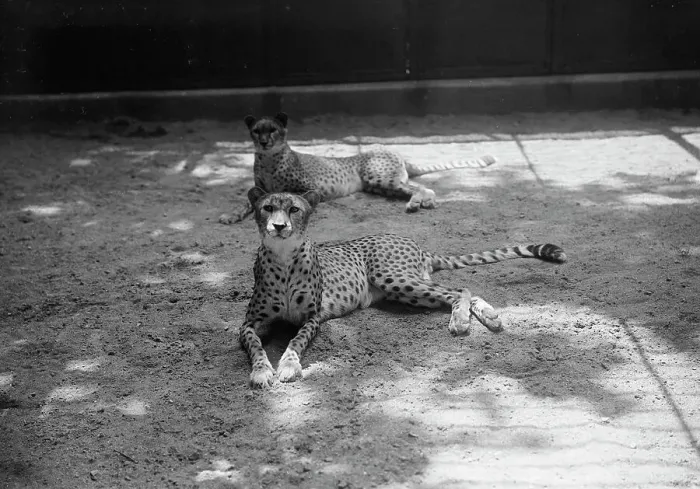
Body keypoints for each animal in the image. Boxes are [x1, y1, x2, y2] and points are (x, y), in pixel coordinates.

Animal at [218, 112, 497, 224]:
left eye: (273, 130)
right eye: (257, 131)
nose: (264, 141)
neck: (268, 159)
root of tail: (391, 149)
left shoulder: (310, 188)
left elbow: (292, 196)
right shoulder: (259, 188)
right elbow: (246, 202)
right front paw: (230, 215)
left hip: (379, 178)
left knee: (425, 188)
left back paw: (418, 203)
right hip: (378, 186)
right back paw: (417, 202)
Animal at [239, 188, 567, 388]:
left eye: (294, 209)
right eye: (268, 208)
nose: (279, 226)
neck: (284, 256)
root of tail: (412, 242)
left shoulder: (312, 318)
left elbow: (296, 341)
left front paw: (288, 366)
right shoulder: (249, 323)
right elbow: (255, 345)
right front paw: (261, 371)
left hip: (392, 277)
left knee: (459, 290)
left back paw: (461, 320)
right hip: (401, 286)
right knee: (463, 291)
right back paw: (490, 316)